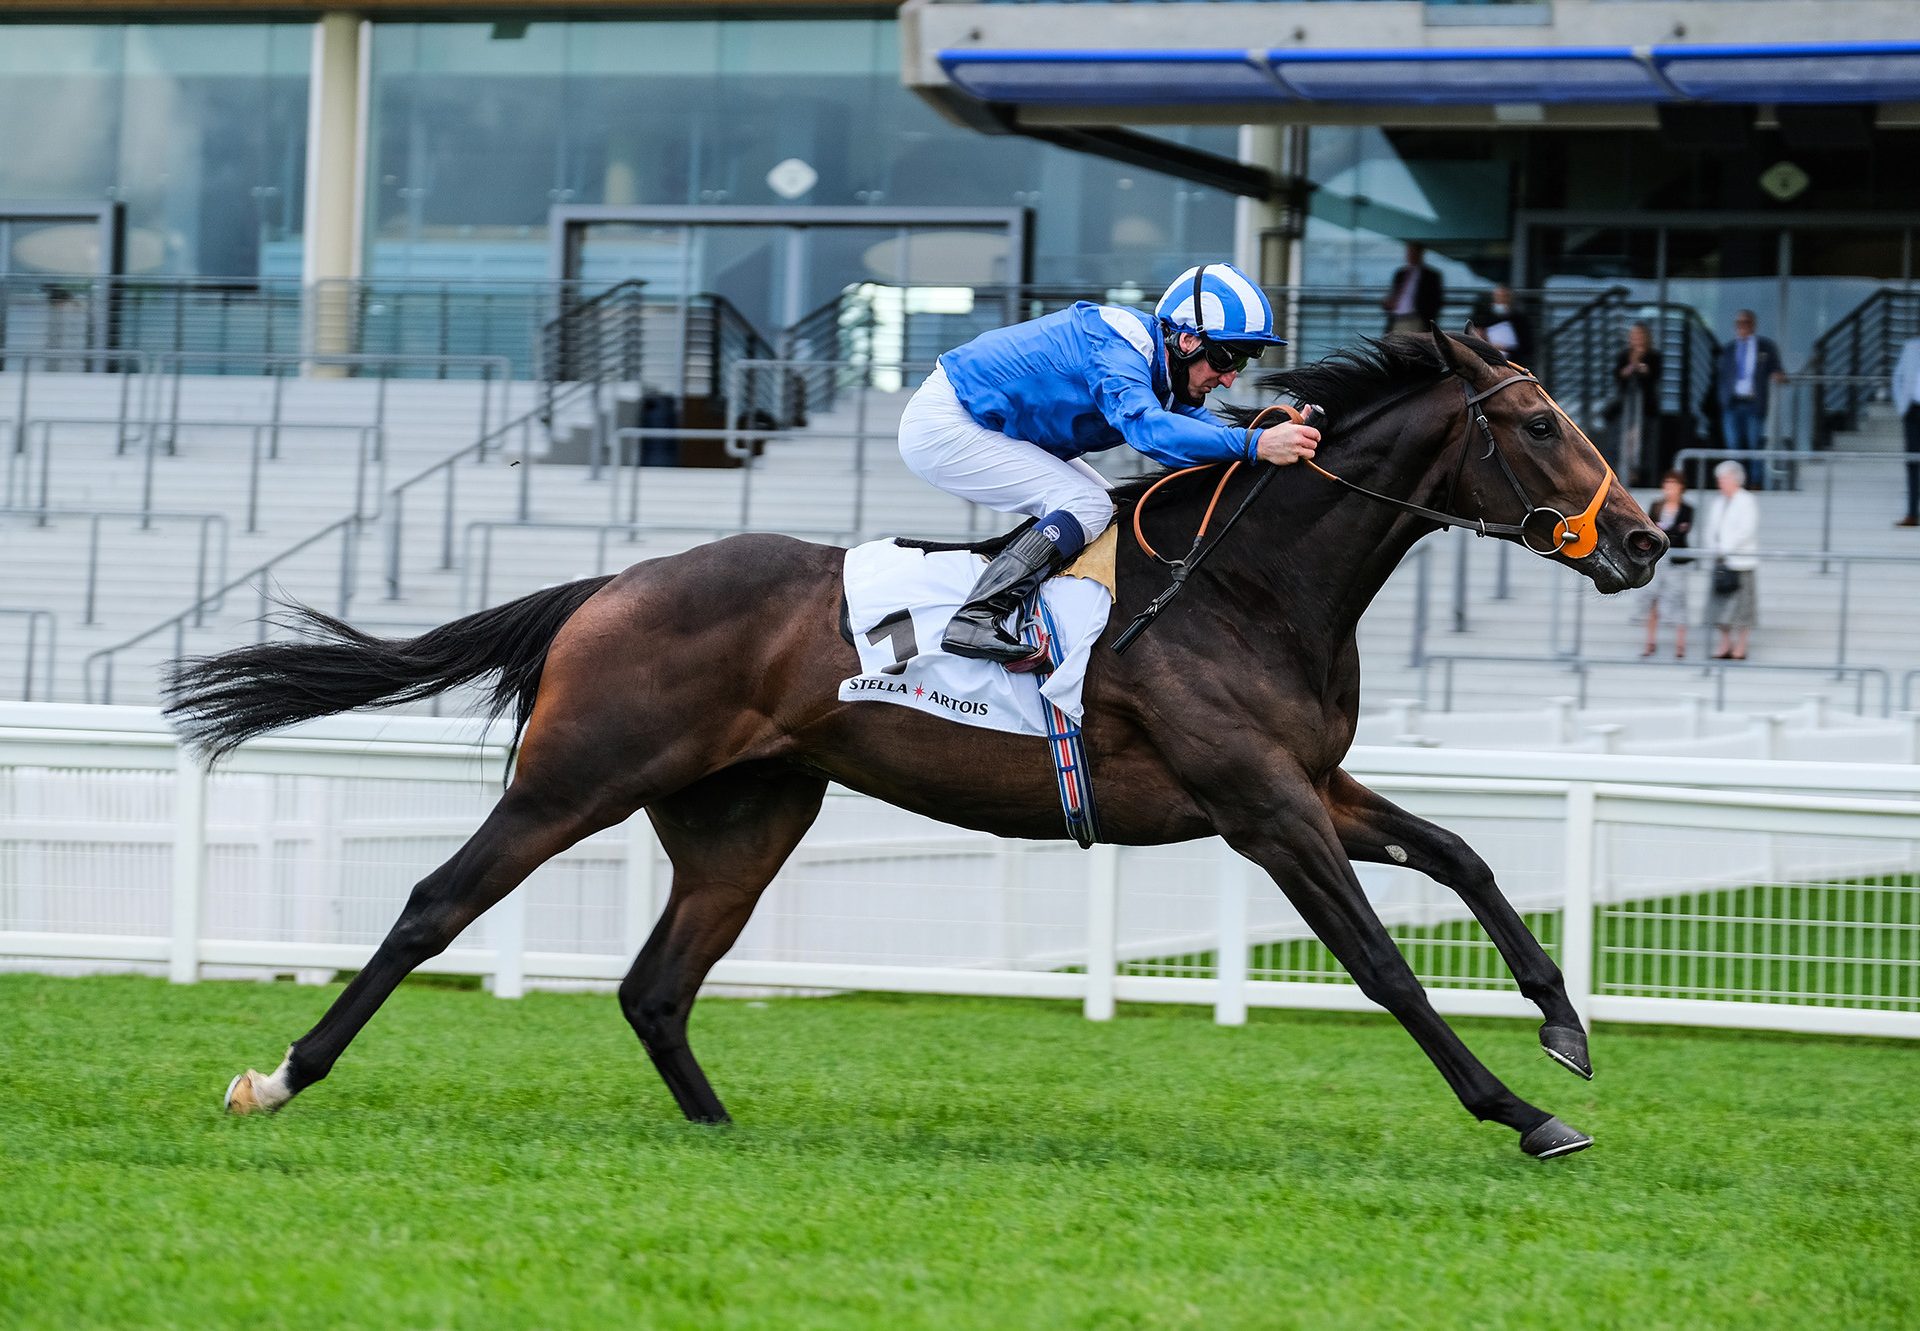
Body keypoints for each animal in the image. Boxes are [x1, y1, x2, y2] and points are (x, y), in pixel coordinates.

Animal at [168, 330, 1666, 1152]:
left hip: (747, 814)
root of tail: (608, 585)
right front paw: (1524, 1111)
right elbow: (1382, 964)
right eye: (1540, 421)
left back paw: (724, 1132)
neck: (1244, 581)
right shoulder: (1261, 804)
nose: (1648, 540)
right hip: (576, 776)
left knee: (656, 984)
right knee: (436, 904)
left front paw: (1564, 1023)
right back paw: (276, 1077)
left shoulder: (1313, 779)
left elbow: (1464, 854)